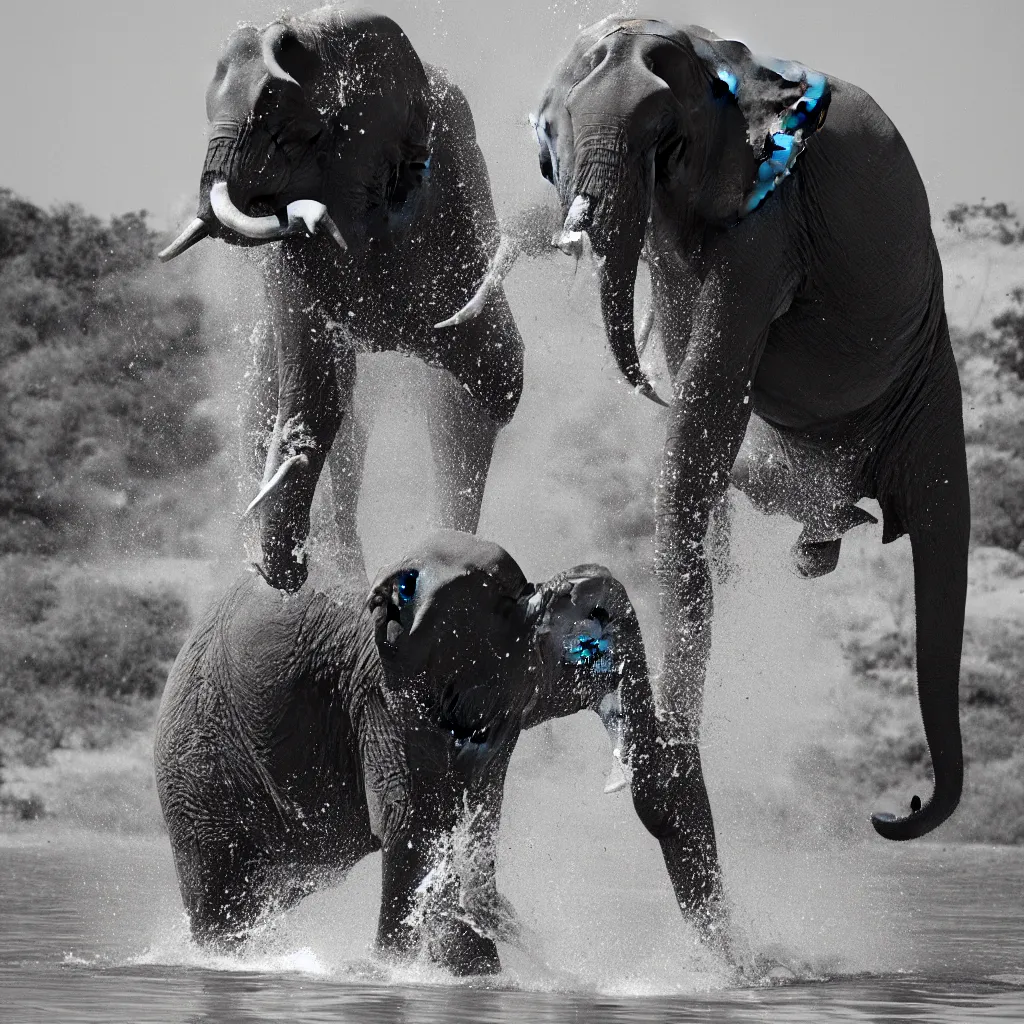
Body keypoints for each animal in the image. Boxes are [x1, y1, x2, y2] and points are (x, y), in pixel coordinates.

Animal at [155, 532, 659, 970]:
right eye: (595, 633)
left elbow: (471, 819)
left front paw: (473, 972)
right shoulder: (384, 691)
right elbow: (412, 821)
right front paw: (394, 970)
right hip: (196, 769)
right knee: (217, 889)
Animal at [164, 8, 528, 589]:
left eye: (292, 133)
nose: (290, 572)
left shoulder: (441, 184)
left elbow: (492, 373)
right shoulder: (289, 262)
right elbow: (321, 389)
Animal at [446, 14, 966, 942]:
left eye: (670, 141)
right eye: (546, 143)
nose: (892, 810)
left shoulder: (766, 226)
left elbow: (697, 433)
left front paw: (671, 787)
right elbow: (698, 424)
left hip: (922, 382)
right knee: (778, 476)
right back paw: (820, 544)